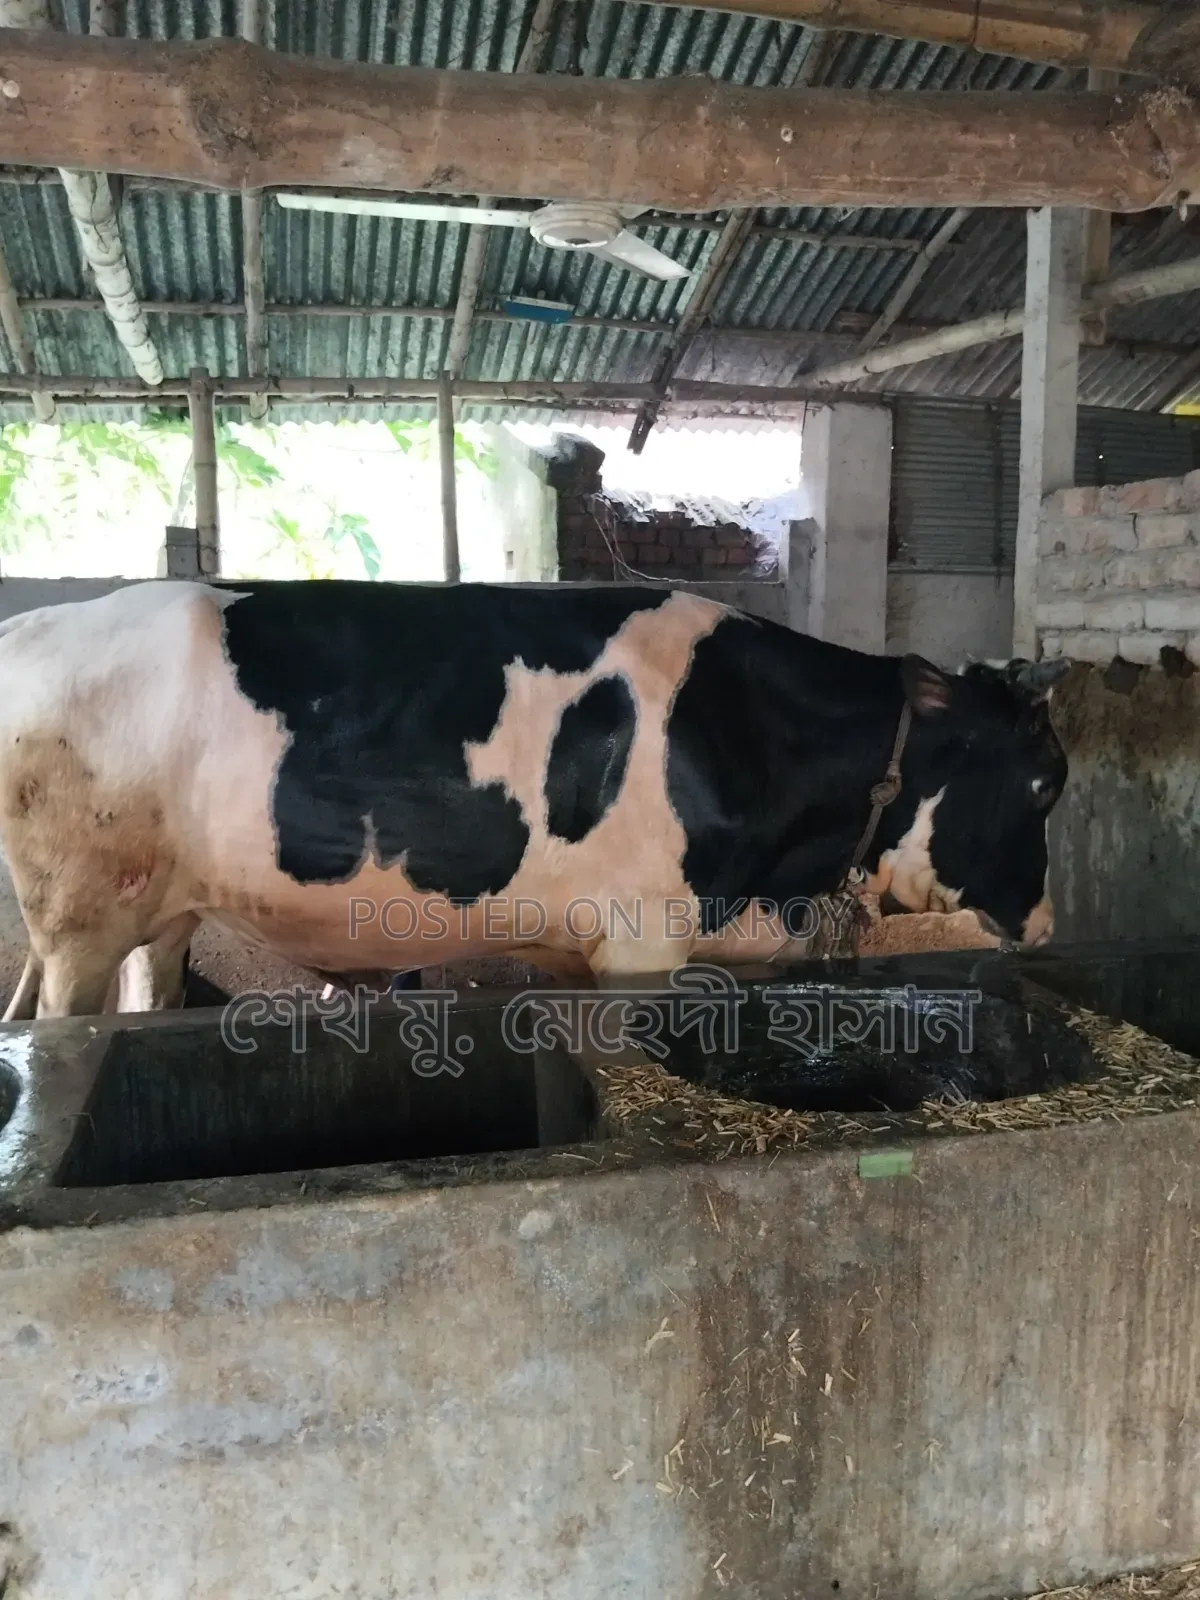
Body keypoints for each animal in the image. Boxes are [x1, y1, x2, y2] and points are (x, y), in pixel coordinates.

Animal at [0, 580, 1069, 1020]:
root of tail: (35, 624)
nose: (1048, 921)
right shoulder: (644, 936)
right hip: (76, 923)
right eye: (1046, 782)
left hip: (159, 911)